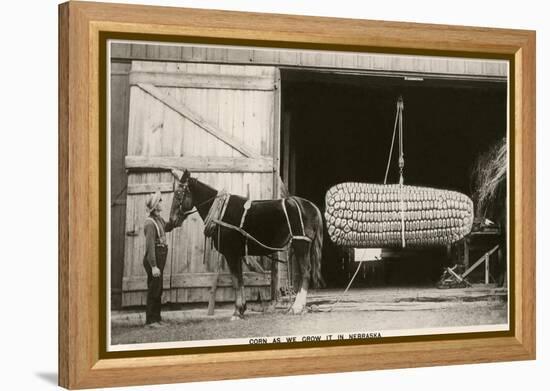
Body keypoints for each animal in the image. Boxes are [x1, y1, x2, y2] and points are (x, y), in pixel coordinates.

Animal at [168, 168, 324, 318]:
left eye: (178, 194)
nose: (171, 221)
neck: (221, 212)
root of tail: (311, 206)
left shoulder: (231, 253)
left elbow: (236, 281)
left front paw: (237, 311)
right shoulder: (237, 254)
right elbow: (240, 280)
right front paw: (242, 308)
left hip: (301, 244)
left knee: (306, 272)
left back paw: (297, 307)